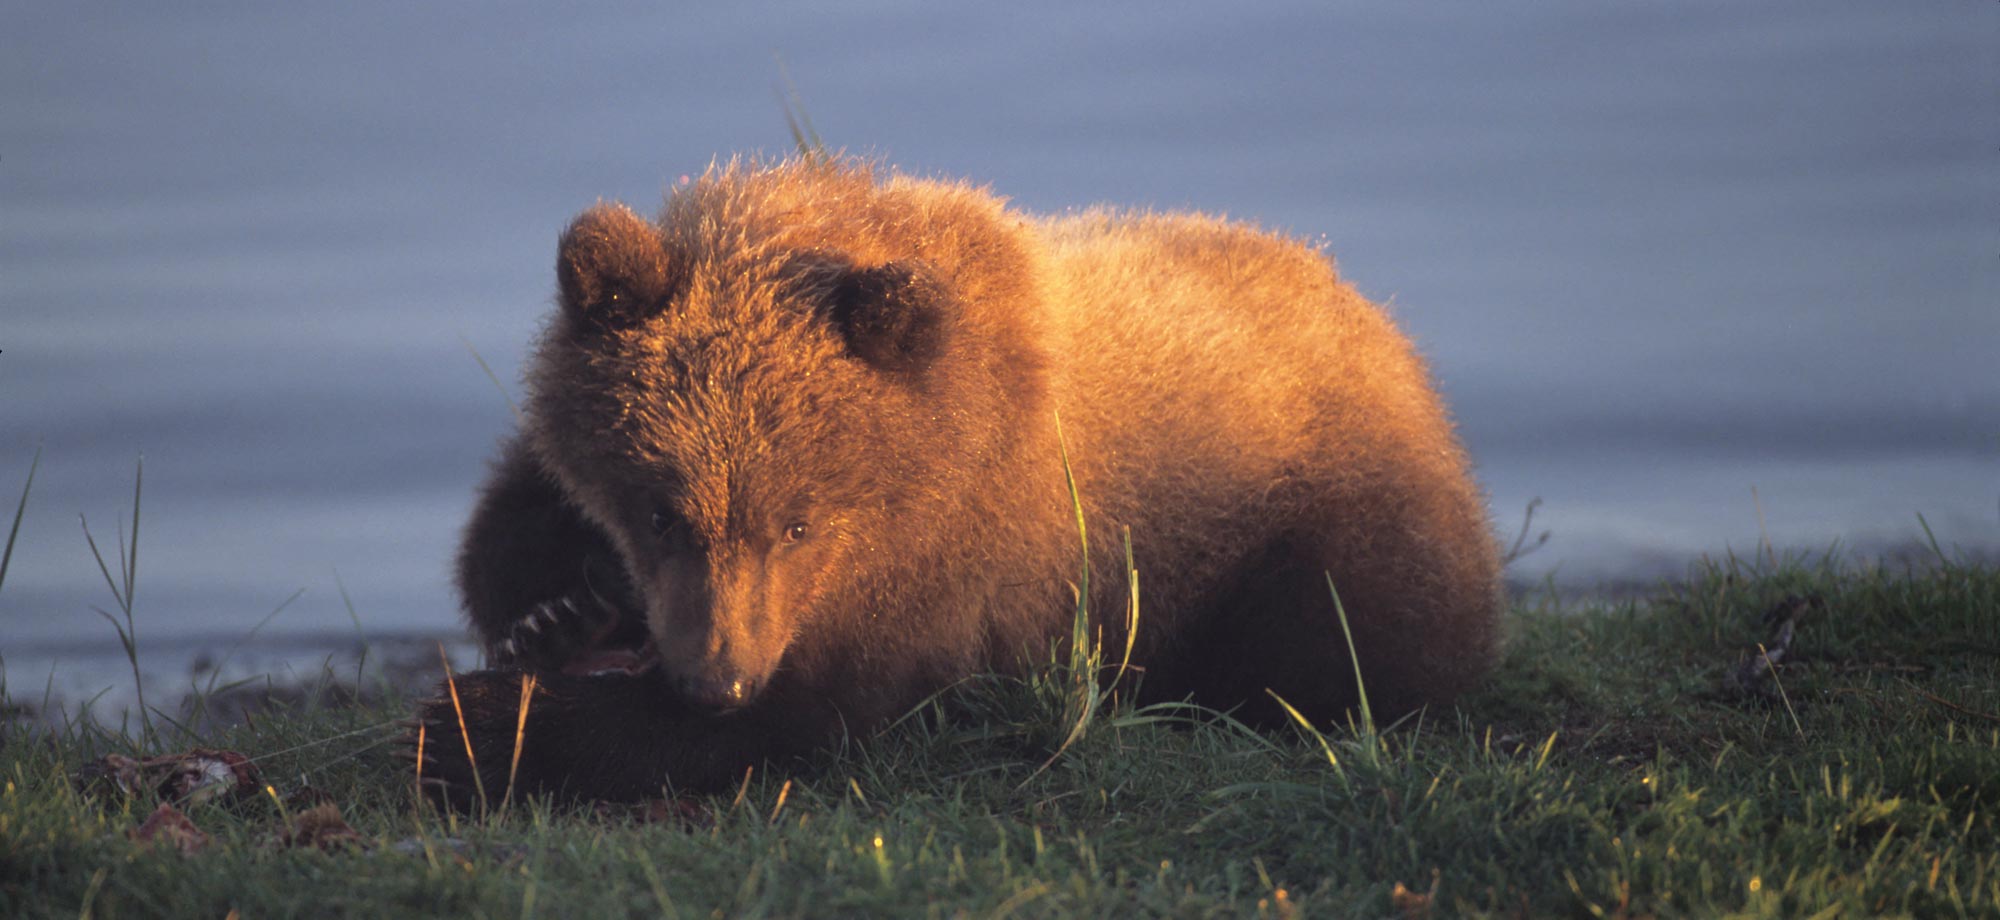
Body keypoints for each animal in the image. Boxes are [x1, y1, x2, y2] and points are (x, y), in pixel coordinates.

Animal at [410, 158, 1504, 804]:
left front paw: (482, 723)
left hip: (1308, 514)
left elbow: (817, 715)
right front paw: (555, 611)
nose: (715, 676)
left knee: (1339, 642)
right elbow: (508, 526)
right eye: (658, 510)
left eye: (798, 522)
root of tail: (1394, 338)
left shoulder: (960, 561)